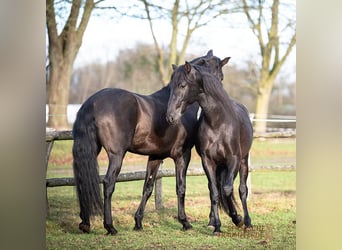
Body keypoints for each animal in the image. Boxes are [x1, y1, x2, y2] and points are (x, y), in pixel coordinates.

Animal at [71, 50, 230, 234]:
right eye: (220, 76)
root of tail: (92, 103)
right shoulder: (182, 155)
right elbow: (181, 187)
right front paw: (184, 222)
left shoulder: (155, 156)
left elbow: (147, 187)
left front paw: (138, 222)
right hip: (117, 155)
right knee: (108, 183)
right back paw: (110, 226)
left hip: (92, 150)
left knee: (83, 181)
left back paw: (85, 223)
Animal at [166, 60, 254, 234]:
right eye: (171, 87)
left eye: (182, 85)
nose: (170, 116)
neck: (218, 122)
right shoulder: (208, 161)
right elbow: (215, 192)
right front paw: (217, 226)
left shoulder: (233, 160)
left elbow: (227, 189)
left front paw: (237, 218)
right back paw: (214, 221)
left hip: (243, 162)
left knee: (242, 189)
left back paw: (247, 221)